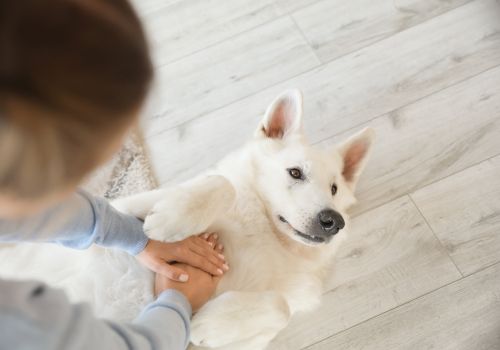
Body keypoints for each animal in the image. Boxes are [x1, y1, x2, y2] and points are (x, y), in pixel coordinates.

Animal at [0, 90, 374, 350]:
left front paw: (207, 324)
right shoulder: (129, 204)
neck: (266, 232)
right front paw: (170, 220)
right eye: (295, 172)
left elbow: (279, 307)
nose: (333, 220)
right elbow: (221, 184)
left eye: (334, 189)